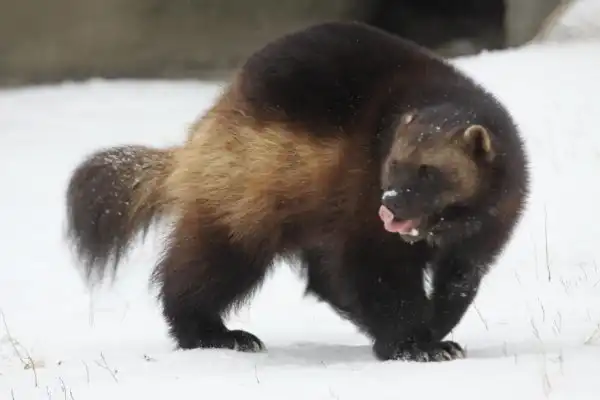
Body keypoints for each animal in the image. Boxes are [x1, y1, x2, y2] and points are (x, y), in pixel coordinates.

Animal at [65, 21, 529, 362]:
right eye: (393, 164)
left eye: (429, 171)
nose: (391, 204)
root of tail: (202, 129)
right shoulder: (363, 211)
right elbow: (380, 277)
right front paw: (414, 344)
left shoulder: (488, 225)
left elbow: (461, 282)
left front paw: (436, 328)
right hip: (244, 197)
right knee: (206, 268)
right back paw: (215, 333)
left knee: (321, 275)